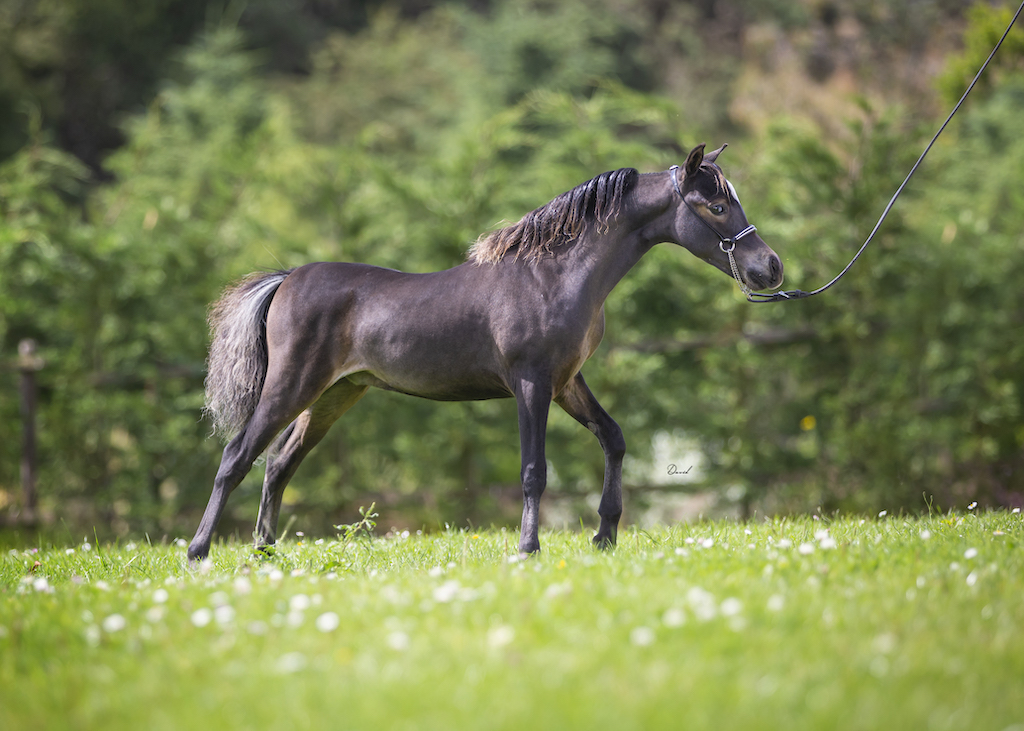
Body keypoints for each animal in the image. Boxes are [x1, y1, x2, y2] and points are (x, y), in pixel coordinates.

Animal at [187, 143, 784, 561]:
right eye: (716, 205)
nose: (770, 268)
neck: (553, 275)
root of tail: (287, 279)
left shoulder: (567, 381)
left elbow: (613, 438)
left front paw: (604, 535)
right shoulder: (531, 383)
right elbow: (533, 469)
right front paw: (528, 548)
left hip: (335, 394)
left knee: (279, 463)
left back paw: (265, 552)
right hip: (292, 384)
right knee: (237, 456)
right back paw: (198, 552)